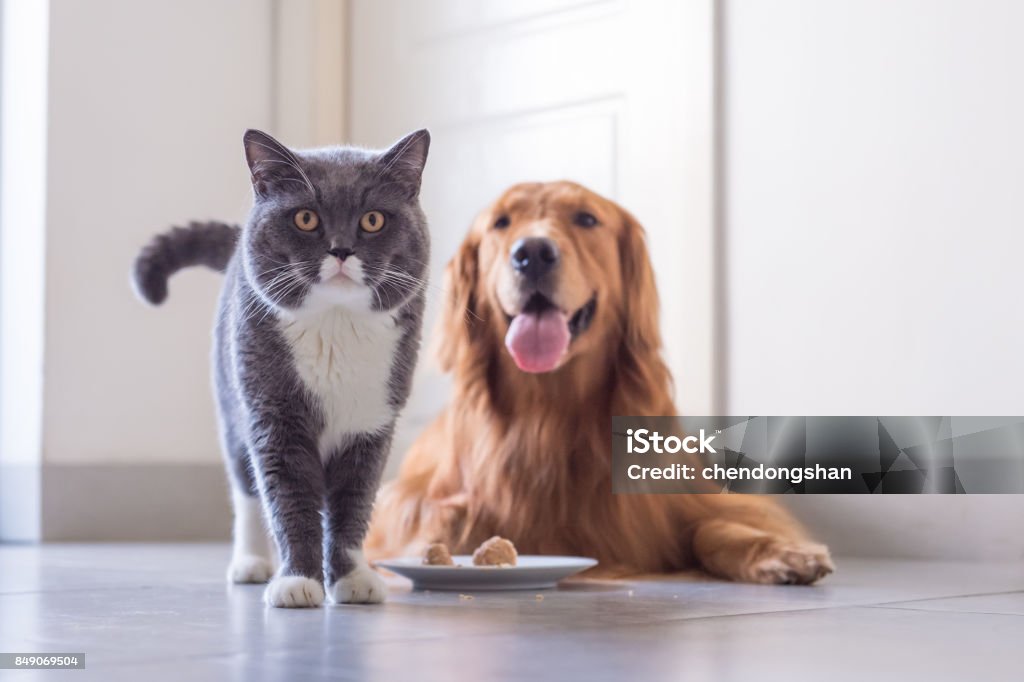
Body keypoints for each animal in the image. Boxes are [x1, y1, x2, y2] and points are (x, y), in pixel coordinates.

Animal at [131, 127, 428, 606]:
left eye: (373, 220)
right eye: (306, 218)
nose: (341, 249)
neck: (335, 325)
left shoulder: (372, 422)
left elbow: (353, 503)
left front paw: (353, 578)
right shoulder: (273, 415)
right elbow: (288, 499)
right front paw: (298, 581)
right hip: (232, 402)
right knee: (246, 490)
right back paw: (251, 563)